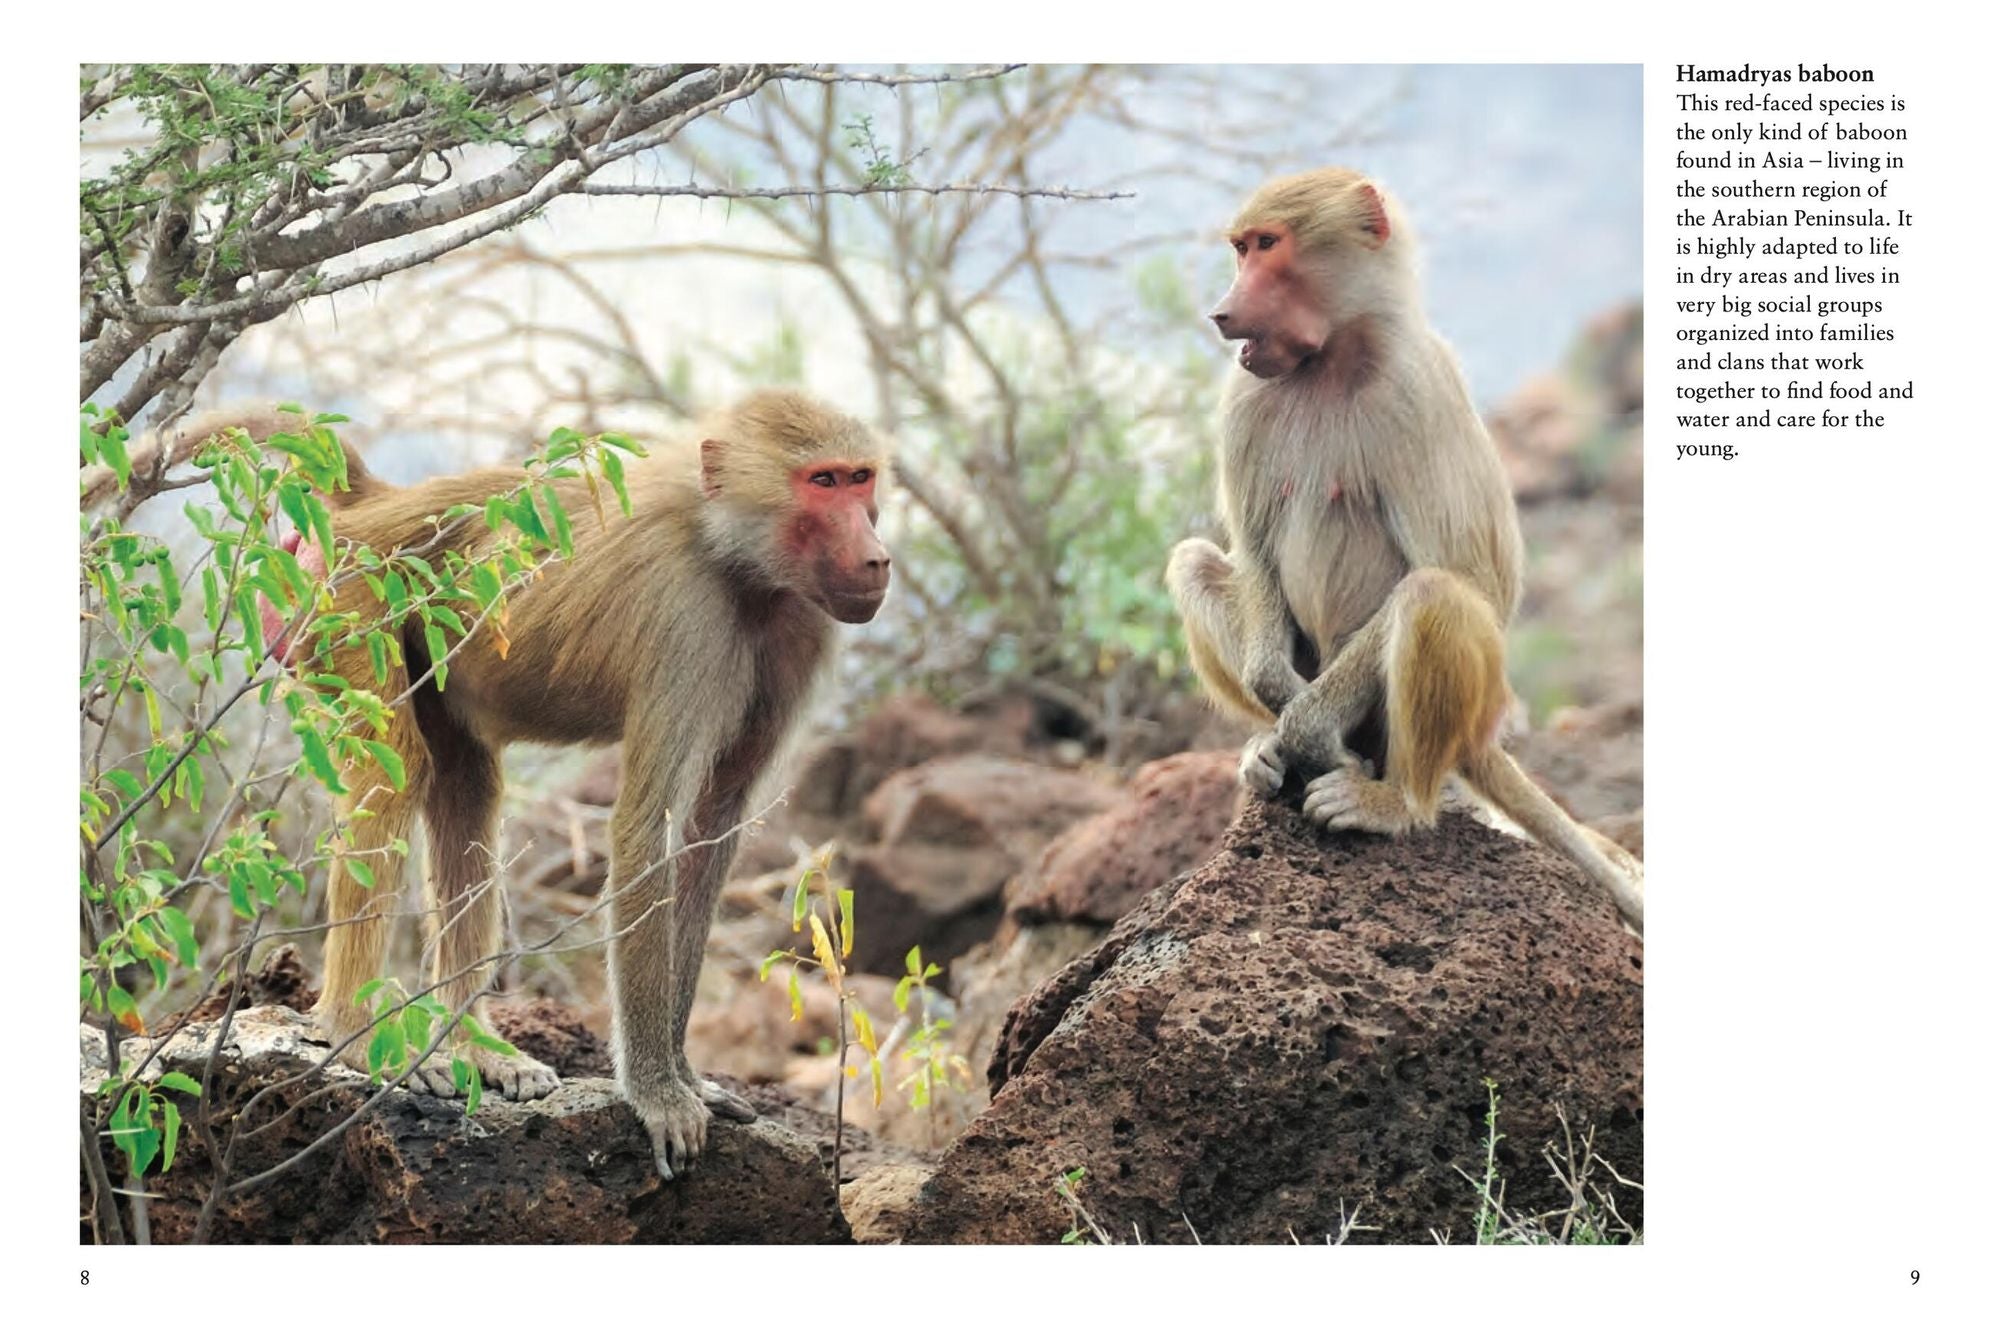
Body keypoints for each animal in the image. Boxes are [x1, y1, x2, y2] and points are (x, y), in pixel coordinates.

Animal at [282, 390, 892, 1178]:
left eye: (860, 478)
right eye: (821, 482)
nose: (878, 558)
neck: (734, 561)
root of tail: (378, 505)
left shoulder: (798, 627)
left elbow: (710, 834)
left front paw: (684, 1073)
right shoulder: (684, 617)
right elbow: (646, 829)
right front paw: (657, 1091)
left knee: (463, 786)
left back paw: (476, 1046)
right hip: (353, 599)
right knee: (394, 768)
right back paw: (356, 1033)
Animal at [1166, 167, 1645, 936]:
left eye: (1267, 246)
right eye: (1242, 248)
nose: (1222, 312)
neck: (1331, 356)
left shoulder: (1419, 382)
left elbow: (1474, 573)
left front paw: (1309, 729)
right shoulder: (1245, 391)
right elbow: (1254, 554)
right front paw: (1281, 716)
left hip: (1463, 710)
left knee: (1433, 594)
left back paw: (1399, 801)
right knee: (1194, 562)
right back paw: (1269, 747)